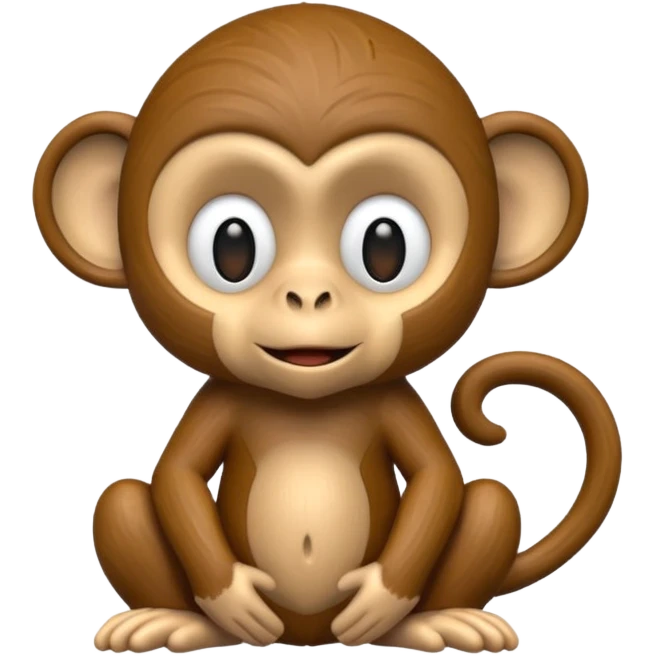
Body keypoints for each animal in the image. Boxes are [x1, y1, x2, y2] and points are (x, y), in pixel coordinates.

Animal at [32, 3, 622, 654]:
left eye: (385, 246)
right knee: (121, 501)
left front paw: (382, 598)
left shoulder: (391, 399)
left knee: (491, 499)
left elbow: (436, 479)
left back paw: (437, 620)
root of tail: (305, 634)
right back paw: (174, 620)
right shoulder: (221, 399)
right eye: (231, 246)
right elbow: (177, 480)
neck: (308, 403)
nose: (309, 294)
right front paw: (232, 598)